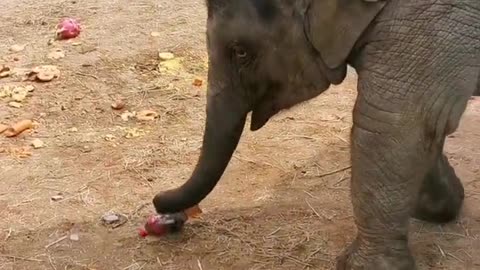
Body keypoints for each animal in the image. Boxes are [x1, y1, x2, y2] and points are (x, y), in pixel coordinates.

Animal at [152, 0, 478, 268]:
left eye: (240, 52)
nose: (158, 202)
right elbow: (425, 124)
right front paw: (435, 207)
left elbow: (393, 122)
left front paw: (361, 267)